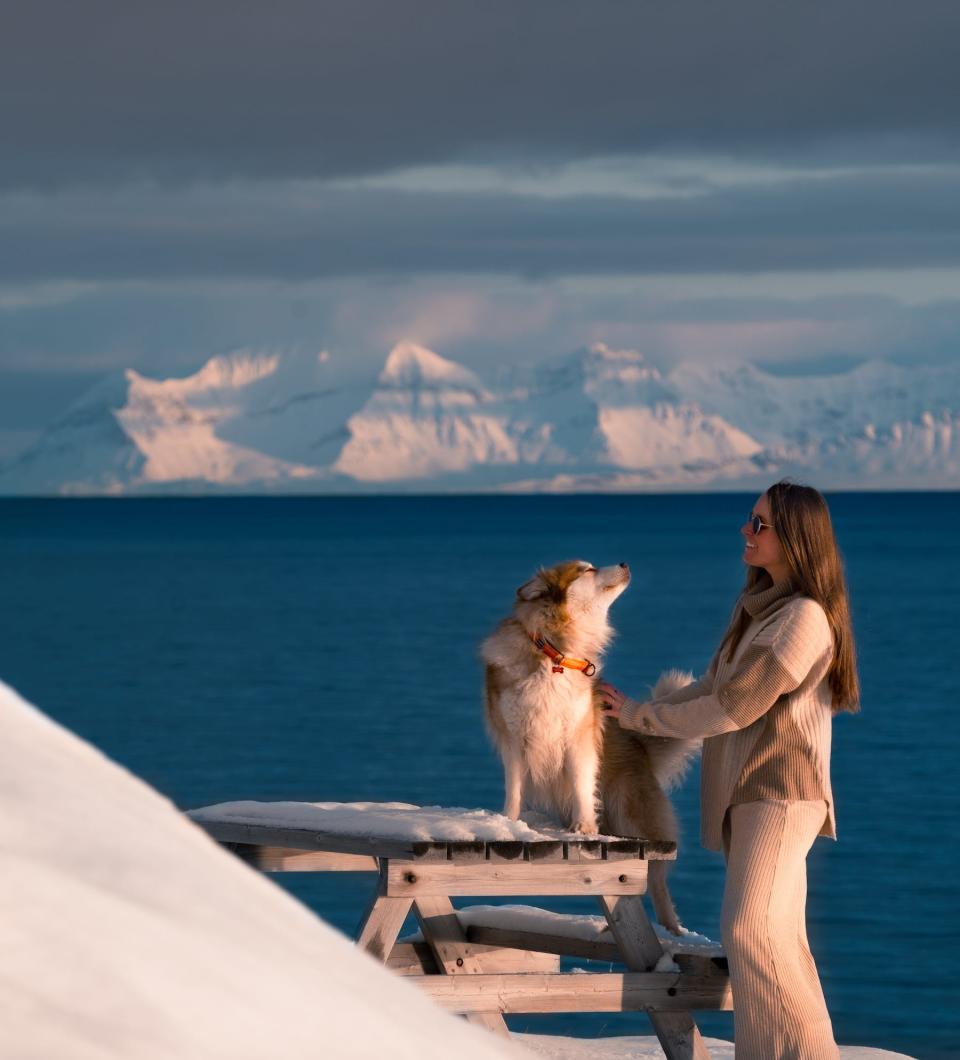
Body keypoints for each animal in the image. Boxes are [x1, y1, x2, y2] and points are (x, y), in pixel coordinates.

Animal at [483, 559, 699, 932]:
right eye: (587, 569)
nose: (625, 562)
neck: (555, 655)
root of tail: (640, 746)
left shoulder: (578, 738)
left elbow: (582, 783)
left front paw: (583, 827)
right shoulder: (513, 739)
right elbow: (515, 787)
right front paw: (508, 822)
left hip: (631, 813)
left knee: (656, 882)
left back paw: (672, 930)